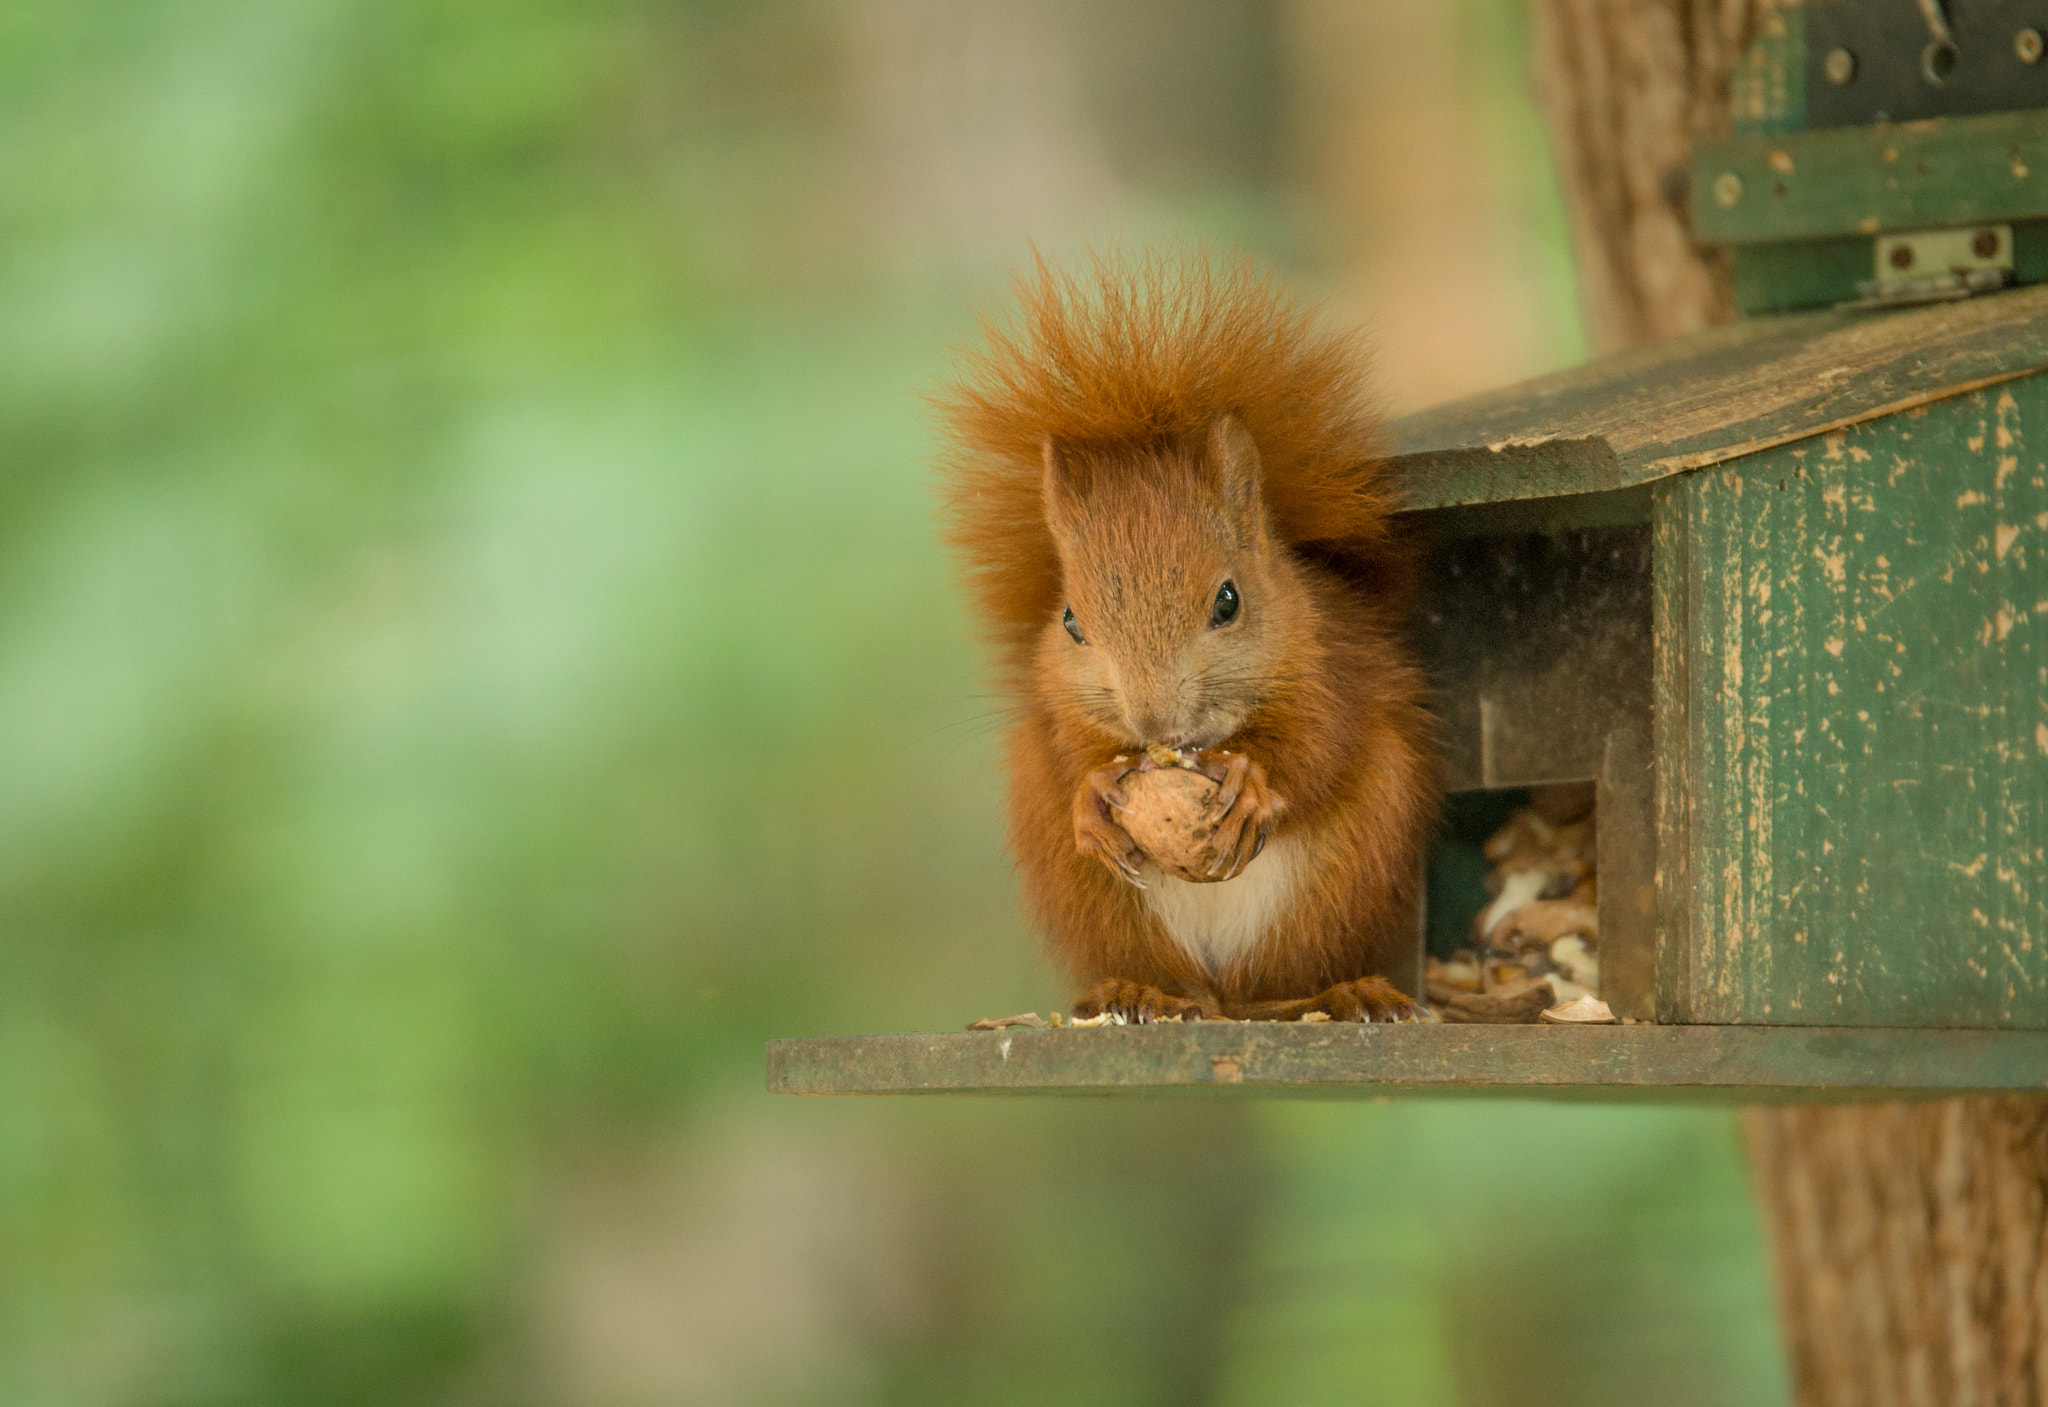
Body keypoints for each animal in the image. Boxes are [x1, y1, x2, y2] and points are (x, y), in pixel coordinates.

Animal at [934, 250, 1436, 1024]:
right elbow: (1069, 753)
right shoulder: (1055, 702)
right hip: (1098, 902)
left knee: (1282, 987)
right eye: (1070, 621)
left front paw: (1255, 784)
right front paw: (1091, 794)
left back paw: (1347, 992)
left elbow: (1318, 747)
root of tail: (1220, 998)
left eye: (1229, 601)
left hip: (1345, 877)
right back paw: (1137, 992)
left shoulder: (1333, 666)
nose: (1154, 722)